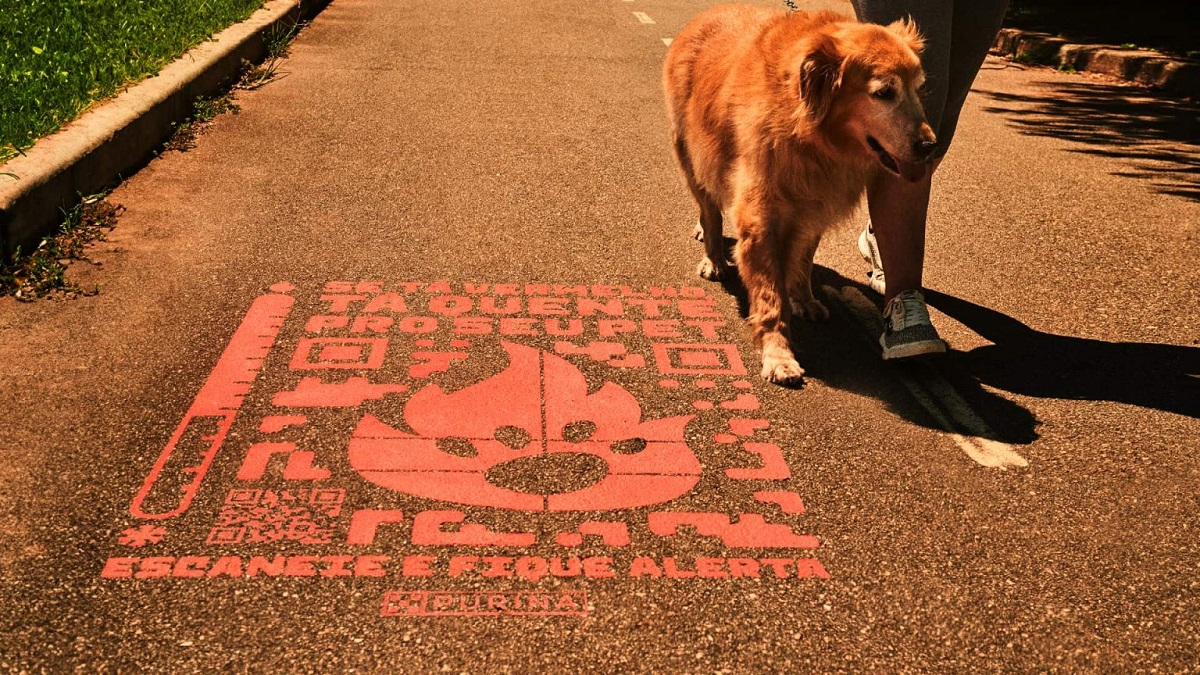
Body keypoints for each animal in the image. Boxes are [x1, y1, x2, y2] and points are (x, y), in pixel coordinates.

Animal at [667, 5, 936, 384]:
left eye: (918, 89)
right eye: (884, 92)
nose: (930, 147)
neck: (812, 138)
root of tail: (709, 12)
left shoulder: (814, 208)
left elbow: (802, 261)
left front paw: (803, 298)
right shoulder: (759, 218)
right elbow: (770, 296)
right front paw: (778, 354)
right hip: (691, 152)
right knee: (709, 206)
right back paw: (714, 255)